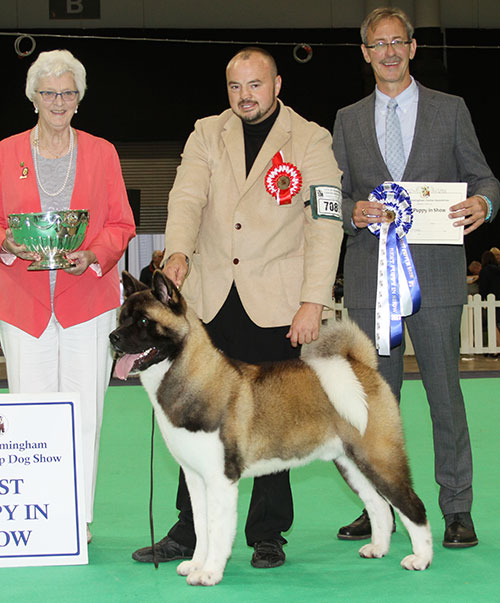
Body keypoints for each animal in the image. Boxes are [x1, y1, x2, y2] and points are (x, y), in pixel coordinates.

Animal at [111, 272, 432, 584]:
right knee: (379, 505)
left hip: (378, 457)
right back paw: (378, 548)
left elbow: (216, 529)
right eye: (121, 317)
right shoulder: (195, 477)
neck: (195, 378)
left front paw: (210, 573)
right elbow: (201, 527)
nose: (113, 337)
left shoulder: (221, 478)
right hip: (350, 462)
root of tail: (360, 366)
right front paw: (196, 564)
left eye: (143, 321)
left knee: (412, 506)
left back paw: (421, 559)